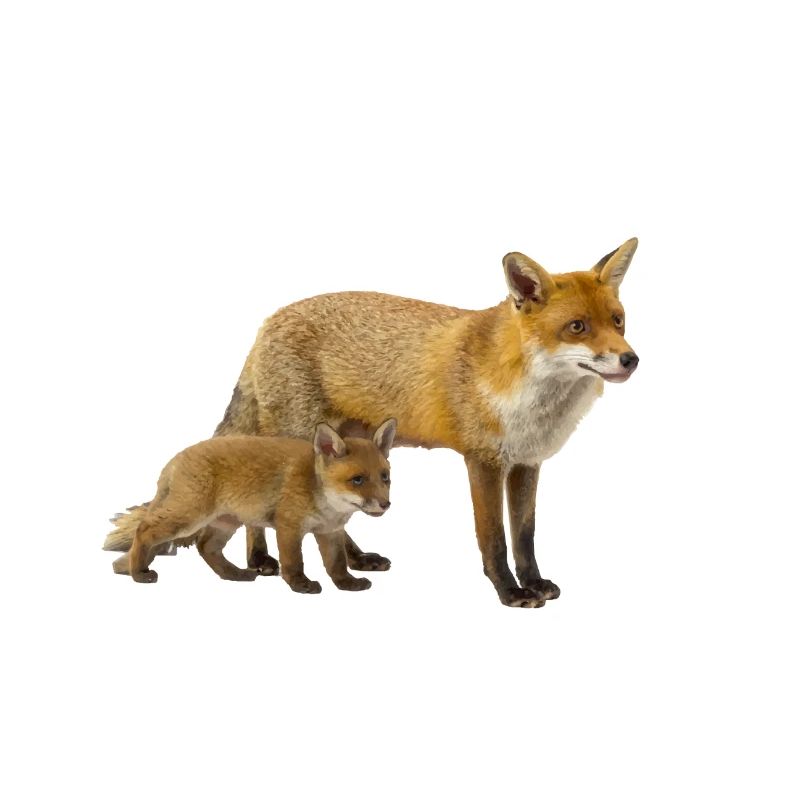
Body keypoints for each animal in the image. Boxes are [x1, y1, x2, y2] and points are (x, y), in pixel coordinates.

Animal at [103, 420, 397, 592]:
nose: (386, 504)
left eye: (385, 477)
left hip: (225, 523)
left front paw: (347, 584)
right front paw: (300, 585)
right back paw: (138, 573)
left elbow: (337, 564)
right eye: (357, 480)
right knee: (144, 530)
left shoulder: (329, 532)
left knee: (206, 548)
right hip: (188, 518)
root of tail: (175, 459)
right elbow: (293, 562)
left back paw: (234, 574)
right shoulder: (288, 527)